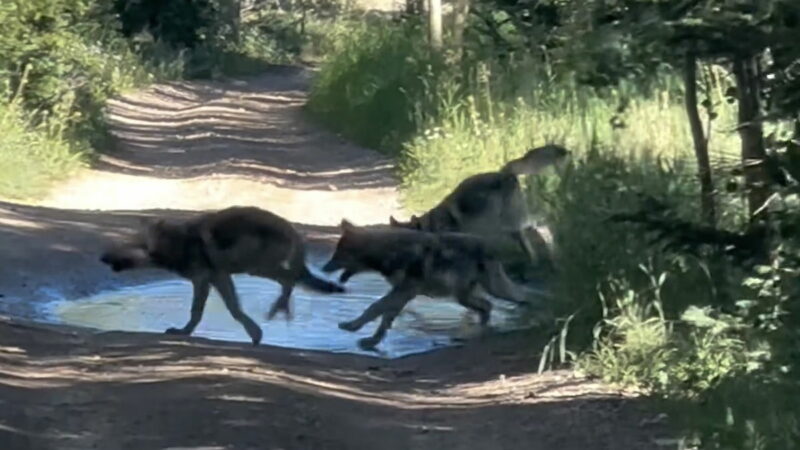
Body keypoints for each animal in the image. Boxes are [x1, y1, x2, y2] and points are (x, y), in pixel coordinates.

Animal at [99, 206, 344, 346]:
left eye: (123, 246)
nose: (101, 257)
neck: (176, 243)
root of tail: (292, 229)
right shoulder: (218, 278)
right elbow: (234, 309)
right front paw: (254, 332)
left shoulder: (204, 279)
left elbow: (199, 311)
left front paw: (183, 332)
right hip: (257, 268)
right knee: (291, 280)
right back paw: (281, 306)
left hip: (258, 267)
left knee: (290, 280)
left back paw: (280, 306)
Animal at [318, 220, 536, 350]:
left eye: (338, 255)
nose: (322, 268)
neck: (389, 252)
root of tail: (490, 244)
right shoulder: (401, 294)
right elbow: (384, 319)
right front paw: (372, 341)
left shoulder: (403, 291)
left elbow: (375, 308)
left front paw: (352, 326)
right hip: (463, 296)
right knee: (488, 306)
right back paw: (479, 331)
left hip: (490, 290)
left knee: (523, 296)